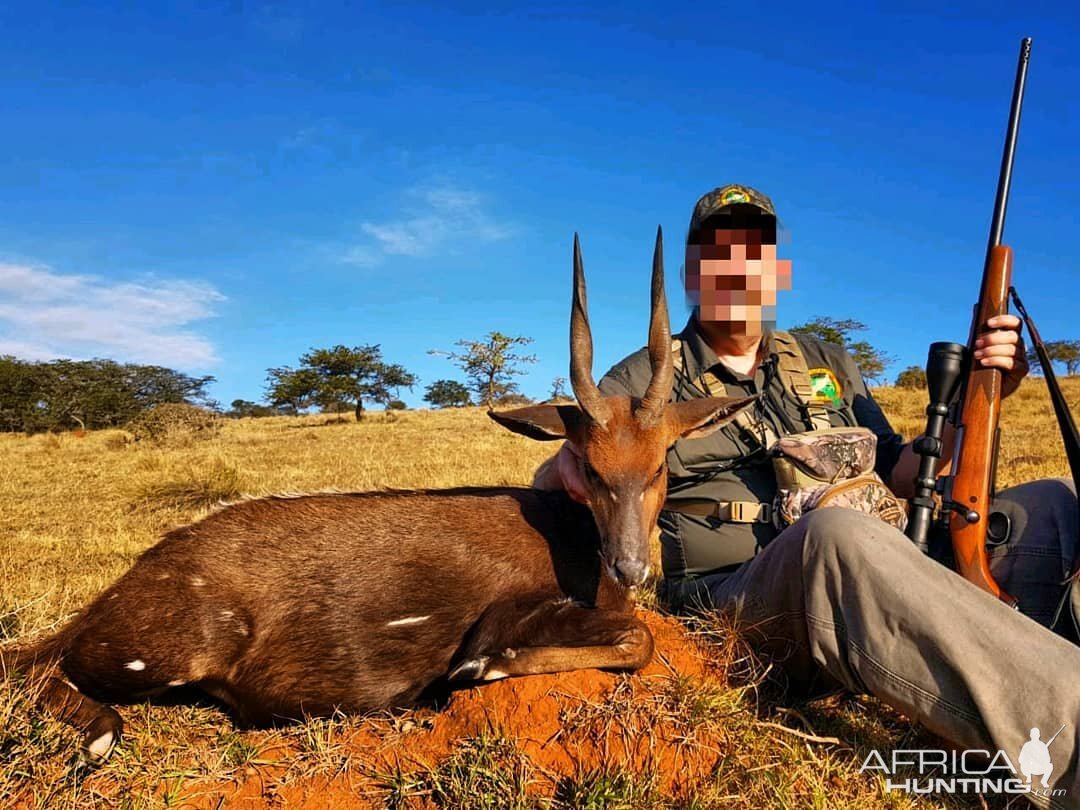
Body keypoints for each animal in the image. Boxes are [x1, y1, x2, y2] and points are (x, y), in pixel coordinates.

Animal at [0, 226, 756, 768]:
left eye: (656, 467)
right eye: (591, 470)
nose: (631, 567)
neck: (574, 541)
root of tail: (132, 581)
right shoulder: (510, 614)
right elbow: (632, 639)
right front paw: (481, 667)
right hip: (162, 652)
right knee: (33, 666)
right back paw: (101, 733)